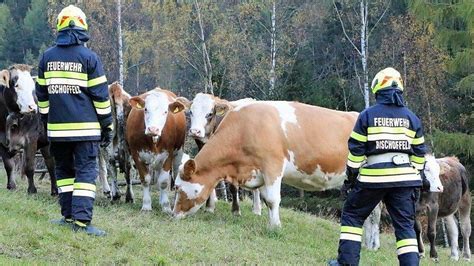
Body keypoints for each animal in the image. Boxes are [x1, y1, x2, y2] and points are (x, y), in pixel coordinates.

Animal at [172, 100, 358, 227]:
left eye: (179, 188)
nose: (173, 214)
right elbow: (266, 199)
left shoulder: (272, 167)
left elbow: (273, 199)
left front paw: (275, 226)